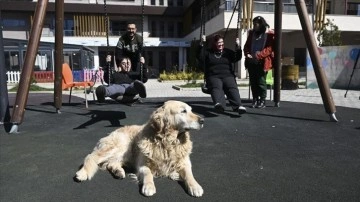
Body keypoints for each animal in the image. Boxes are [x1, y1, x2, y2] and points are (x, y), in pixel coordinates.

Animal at [75, 100, 205, 196]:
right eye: (183, 111)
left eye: (191, 110)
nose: (202, 120)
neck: (168, 142)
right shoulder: (142, 164)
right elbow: (148, 173)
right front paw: (149, 186)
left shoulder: (185, 163)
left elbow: (189, 174)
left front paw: (195, 186)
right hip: (120, 145)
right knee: (91, 157)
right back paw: (82, 173)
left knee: (111, 163)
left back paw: (118, 172)